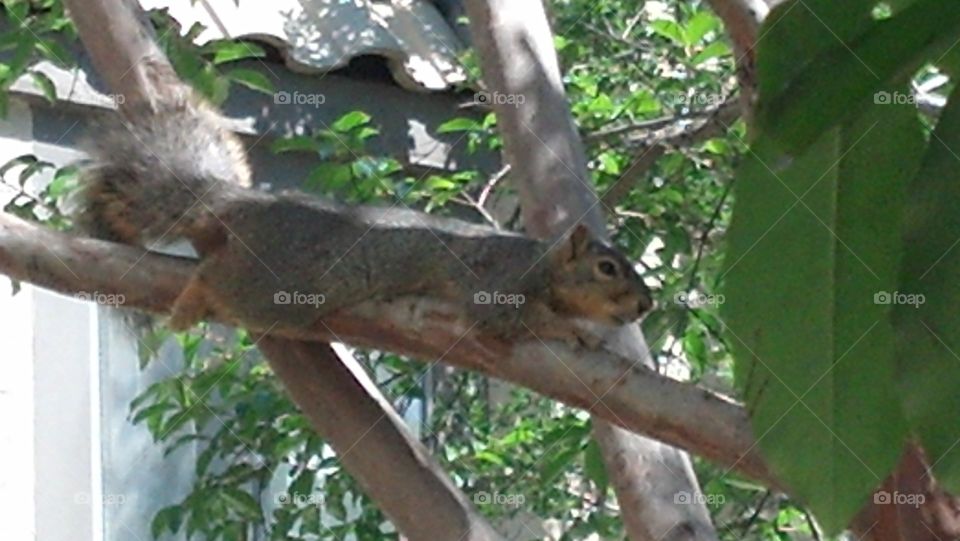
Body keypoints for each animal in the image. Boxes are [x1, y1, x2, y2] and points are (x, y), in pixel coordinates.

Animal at [76, 88, 654, 344]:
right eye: (607, 268)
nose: (645, 306)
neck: (543, 263)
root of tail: (244, 203)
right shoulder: (498, 282)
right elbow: (507, 319)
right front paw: (569, 329)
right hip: (281, 288)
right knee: (216, 278)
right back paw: (192, 298)